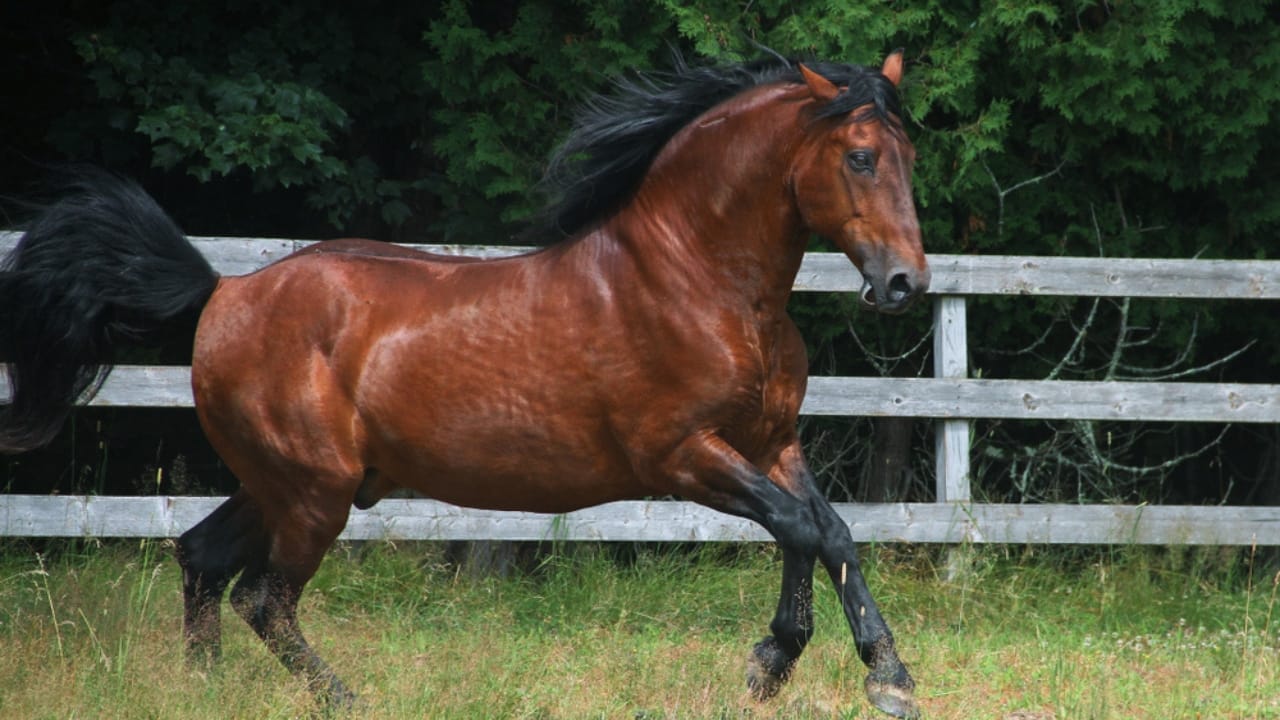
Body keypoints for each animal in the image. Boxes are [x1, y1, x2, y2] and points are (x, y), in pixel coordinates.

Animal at [0, 52, 929, 718]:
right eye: (859, 157)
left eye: (908, 157)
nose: (905, 284)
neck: (699, 280)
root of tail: (222, 292)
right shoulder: (679, 456)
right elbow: (798, 529)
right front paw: (773, 663)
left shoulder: (771, 443)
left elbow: (832, 531)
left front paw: (884, 673)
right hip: (312, 492)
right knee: (264, 600)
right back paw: (347, 700)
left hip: (279, 484)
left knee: (200, 558)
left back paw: (206, 692)